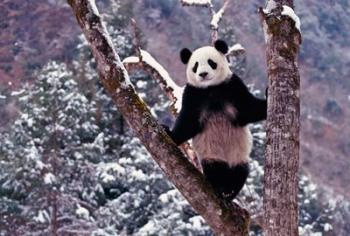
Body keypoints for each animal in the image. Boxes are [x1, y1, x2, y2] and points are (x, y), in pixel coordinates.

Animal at [165, 39, 266, 200]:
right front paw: (169, 133)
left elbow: (249, 109)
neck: (210, 88)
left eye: (211, 62)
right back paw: (221, 187)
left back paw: (230, 191)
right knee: (215, 169)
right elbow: (188, 123)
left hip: (238, 155)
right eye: (195, 66)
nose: (203, 74)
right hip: (211, 153)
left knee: (241, 171)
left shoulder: (232, 86)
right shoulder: (193, 94)